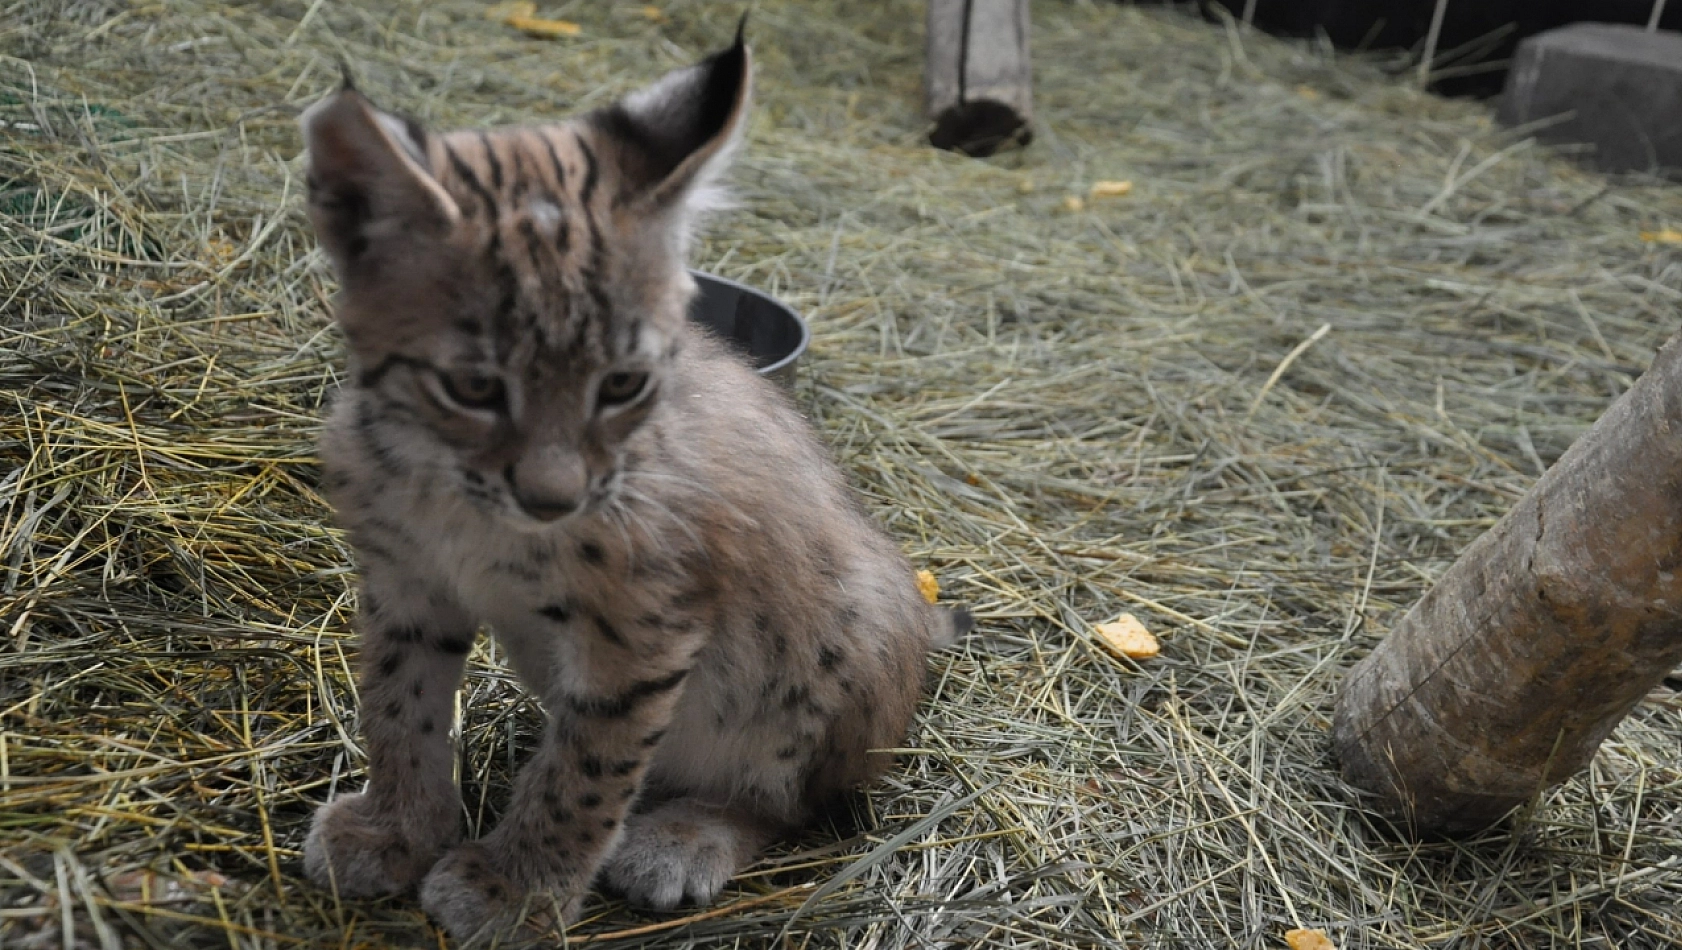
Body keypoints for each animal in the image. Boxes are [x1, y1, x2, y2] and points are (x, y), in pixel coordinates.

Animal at [296, 29, 968, 941]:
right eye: (472, 387)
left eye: (621, 384)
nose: (554, 499)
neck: (455, 492)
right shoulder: (405, 582)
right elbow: (398, 708)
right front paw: (396, 830)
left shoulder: (643, 632)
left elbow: (585, 772)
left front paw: (514, 892)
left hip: (845, 629)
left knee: (802, 804)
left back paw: (688, 836)